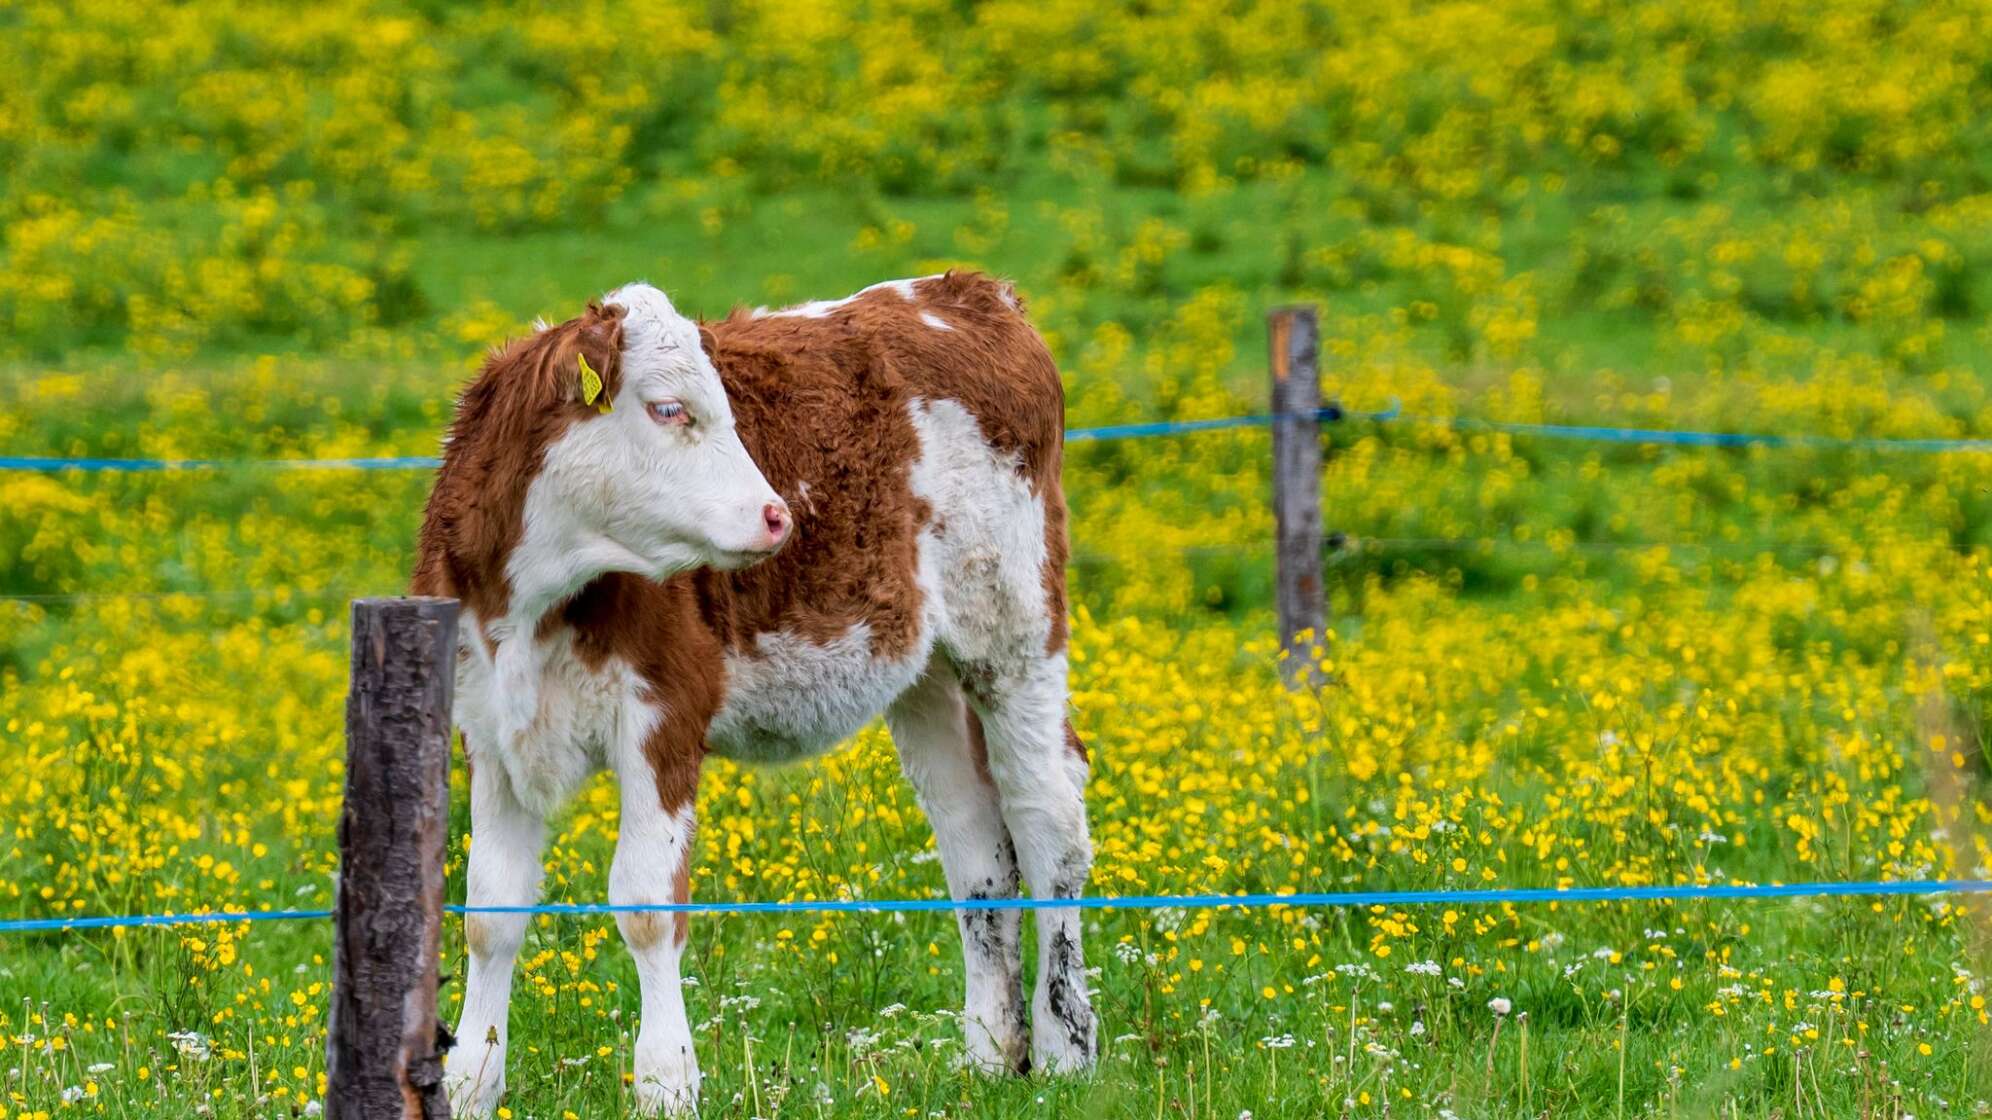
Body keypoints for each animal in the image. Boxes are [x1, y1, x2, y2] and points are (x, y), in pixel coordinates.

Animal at [411, 271, 1098, 1115]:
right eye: (668, 408)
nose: (778, 515)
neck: (535, 599)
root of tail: (969, 291)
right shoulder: (489, 729)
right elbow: (489, 911)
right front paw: (471, 1083)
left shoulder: (665, 715)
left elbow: (647, 904)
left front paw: (666, 1081)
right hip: (928, 673)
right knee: (975, 844)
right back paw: (993, 1051)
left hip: (1015, 633)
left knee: (1046, 819)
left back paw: (1066, 1048)